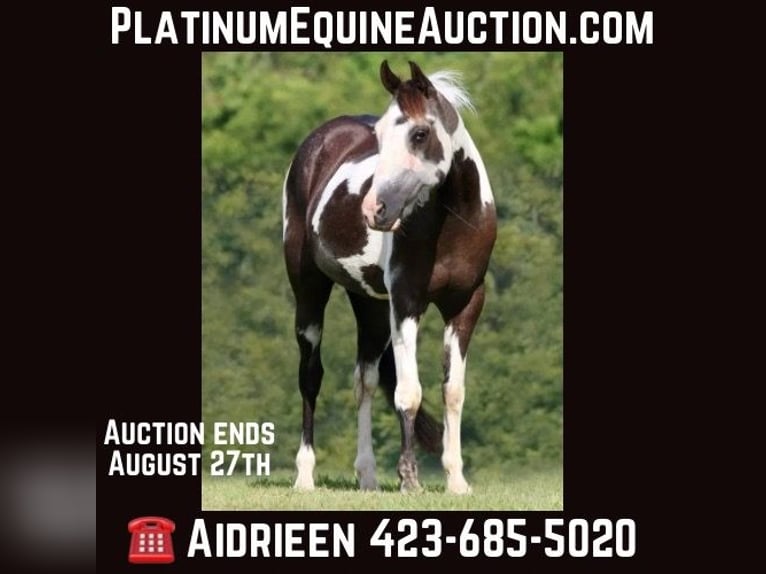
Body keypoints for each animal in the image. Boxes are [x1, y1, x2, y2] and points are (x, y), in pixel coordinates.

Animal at [282, 60, 496, 494]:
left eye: (420, 133)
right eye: (379, 136)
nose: (374, 210)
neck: (453, 224)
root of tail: (319, 141)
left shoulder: (465, 304)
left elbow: (453, 391)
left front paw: (456, 480)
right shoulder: (407, 303)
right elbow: (408, 393)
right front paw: (410, 480)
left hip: (371, 307)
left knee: (363, 379)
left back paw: (367, 478)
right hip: (310, 291)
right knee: (310, 376)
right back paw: (305, 476)